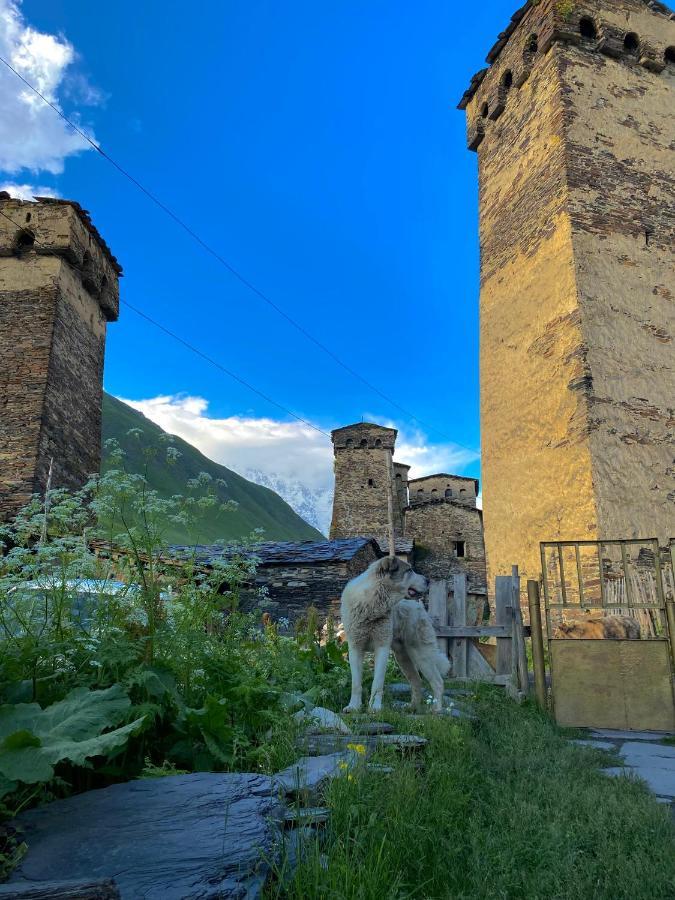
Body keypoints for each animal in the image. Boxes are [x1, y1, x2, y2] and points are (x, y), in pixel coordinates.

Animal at [340, 556, 446, 712]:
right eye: (409, 570)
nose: (427, 580)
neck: (371, 604)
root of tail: (419, 606)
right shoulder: (355, 648)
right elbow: (356, 684)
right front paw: (353, 707)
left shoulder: (382, 648)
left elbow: (377, 683)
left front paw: (374, 708)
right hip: (403, 657)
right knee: (417, 681)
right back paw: (412, 707)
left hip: (421, 654)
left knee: (437, 682)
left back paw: (436, 710)